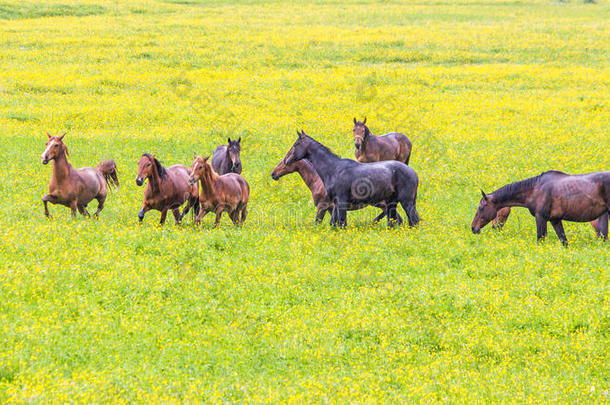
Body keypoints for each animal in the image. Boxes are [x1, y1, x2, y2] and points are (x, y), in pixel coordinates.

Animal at [280, 129, 418, 227]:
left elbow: (341, 224)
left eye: (296, 144)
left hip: (406, 202)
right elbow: (334, 224)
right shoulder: (335, 204)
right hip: (392, 203)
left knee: (413, 221)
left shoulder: (340, 202)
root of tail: (413, 173)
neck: (334, 169)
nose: (286, 160)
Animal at [470, 170, 608, 245]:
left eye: (481, 207)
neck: (535, 189)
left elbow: (541, 239)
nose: (473, 228)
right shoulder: (555, 220)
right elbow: (564, 241)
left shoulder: (541, 217)